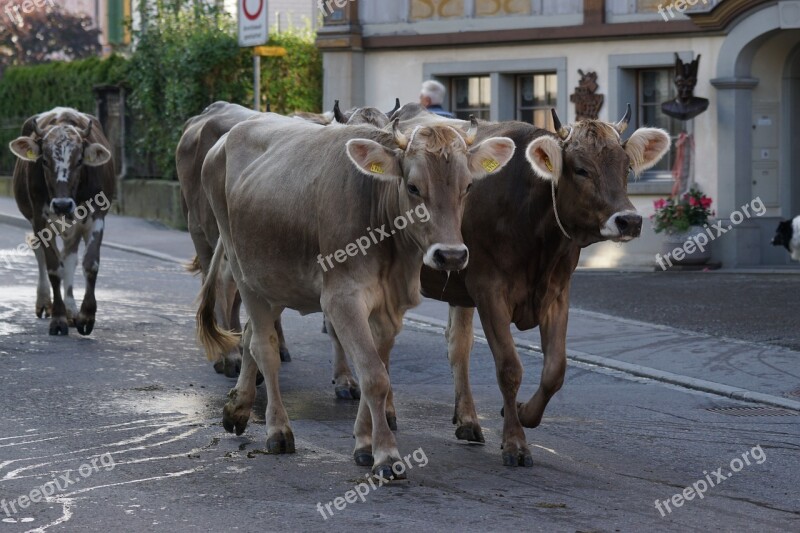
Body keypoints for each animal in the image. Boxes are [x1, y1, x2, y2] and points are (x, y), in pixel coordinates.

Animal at [9, 106, 114, 334]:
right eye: (44, 161)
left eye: (79, 161)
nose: (62, 205)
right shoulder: (40, 220)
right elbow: (53, 267)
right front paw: (58, 318)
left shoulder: (97, 216)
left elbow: (90, 263)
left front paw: (86, 316)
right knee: (42, 254)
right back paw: (45, 303)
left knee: (69, 257)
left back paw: (71, 310)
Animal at [197, 114, 516, 476]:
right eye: (413, 187)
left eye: (468, 187)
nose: (450, 256)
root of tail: (232, 133)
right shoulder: (342, 298)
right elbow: (374, 375)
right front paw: (386, 454)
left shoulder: (390, 304)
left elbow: (377, 369)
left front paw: (364, 444)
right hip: (244, 270)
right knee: (264, 347)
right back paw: (278, 430)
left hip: (276, 278)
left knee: (252, 335)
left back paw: (237, 408)